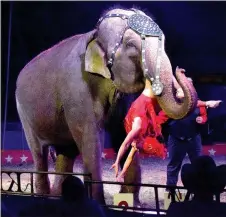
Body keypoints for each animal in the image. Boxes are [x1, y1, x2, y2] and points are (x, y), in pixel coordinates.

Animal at [15, 6, 197, 203]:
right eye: (131, 45)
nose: (181, 71)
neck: (94, 36)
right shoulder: (76, 87)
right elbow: (90, 138)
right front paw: (98, 202)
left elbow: (124, 132)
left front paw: (130, 203)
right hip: (24, 114)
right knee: (39, 152)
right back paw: (43, 195)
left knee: (66, 152)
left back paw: (58, 196)